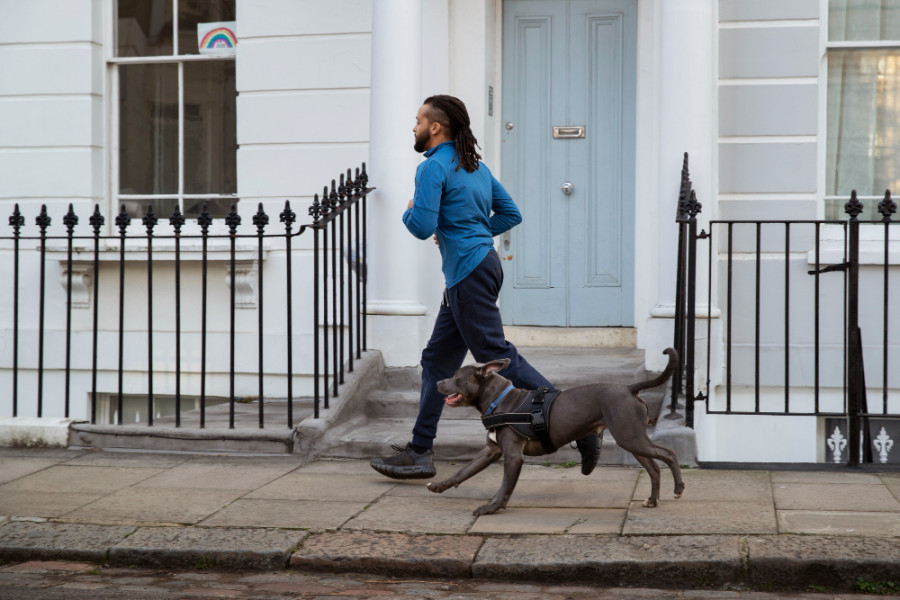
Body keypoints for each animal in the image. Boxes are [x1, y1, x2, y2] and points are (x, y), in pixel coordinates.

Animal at [428, 346, 684, 516]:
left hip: (630, 436)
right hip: (631, 437)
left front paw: (490, 508)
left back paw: (679, 488)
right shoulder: (490, 451)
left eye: (456, 377)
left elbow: (504, 487)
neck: (499, 401)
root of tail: (630, 388)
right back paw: (652, 500)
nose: (438, 382)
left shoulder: (513, 456)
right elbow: (464, 471)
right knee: (654, 468)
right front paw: (440, 485)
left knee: (670, 453)